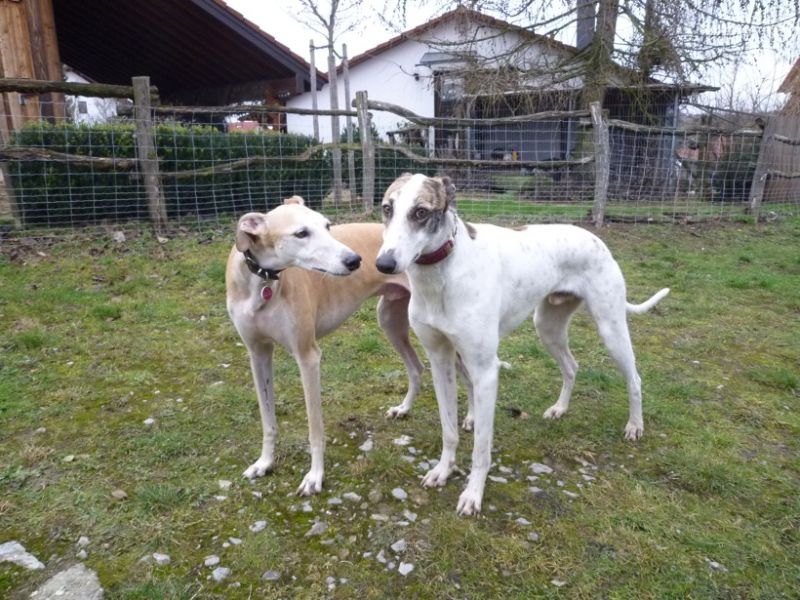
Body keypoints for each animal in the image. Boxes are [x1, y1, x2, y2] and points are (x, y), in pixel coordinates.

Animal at [226, 196, 423, 495]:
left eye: (328, 226)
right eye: (301, 233)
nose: (355, 260)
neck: (261, 281)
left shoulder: (308, 356)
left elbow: (315, 429)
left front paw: (314, 477)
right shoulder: (258, 354)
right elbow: (267, 419)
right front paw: (264, 463)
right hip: (390, 321)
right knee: (416, 367)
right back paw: (403, 409)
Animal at [375, 174, 669, 515]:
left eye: (421, 212)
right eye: (387, 208)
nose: (383, 263)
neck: (443, 272)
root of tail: (595, 238)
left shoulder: (486, 370)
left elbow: (482, 447)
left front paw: (473, 494)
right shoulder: (440, 360)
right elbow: (448, 430)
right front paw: (443, 471)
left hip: (611, 329)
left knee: (634, 378)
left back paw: (635, 426)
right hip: (547, 327)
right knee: (572, 366)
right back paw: (559, 409)